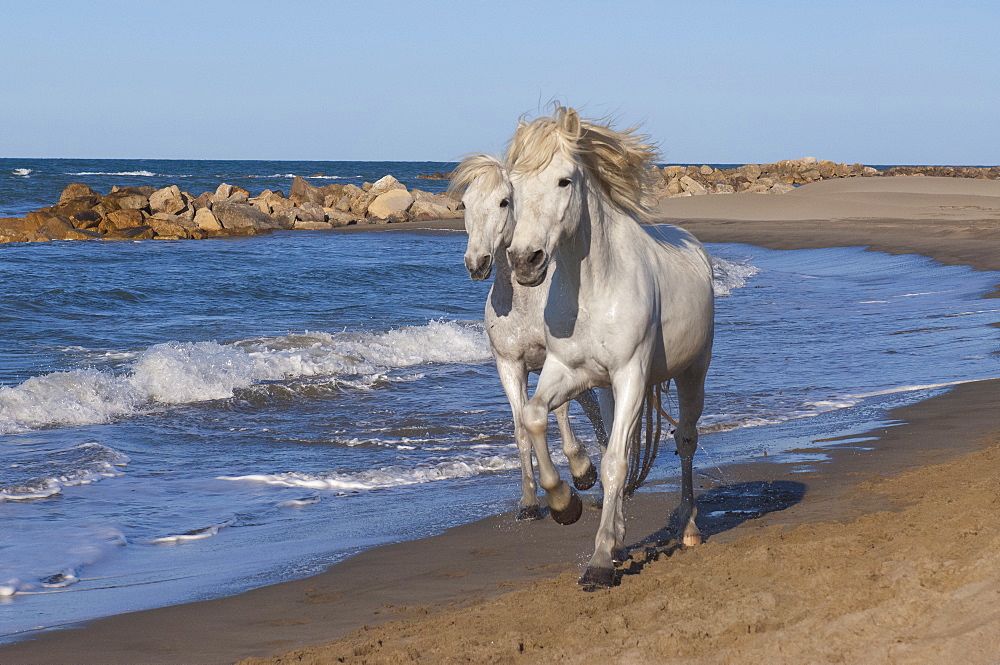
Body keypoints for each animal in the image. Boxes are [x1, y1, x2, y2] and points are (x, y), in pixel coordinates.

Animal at [450, 153, 604, 520]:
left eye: (505, 201)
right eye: (465, 204)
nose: (476, 263)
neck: (524, 304)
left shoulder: (555, 360)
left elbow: (558, 411)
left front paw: (581, 471)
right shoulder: (510, 367)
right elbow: (522, 427)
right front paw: (530, 501)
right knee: (590, 403)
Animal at [504, 107, 716, 588]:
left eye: (564, 181)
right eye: (512, 189)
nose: (525, 261)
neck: (596, 285)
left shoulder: (632, 375)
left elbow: (617, 462)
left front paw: (600, 562)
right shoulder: (568, 369)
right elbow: (535, 416)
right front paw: (566, 502)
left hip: (692, 372)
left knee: (686, 439)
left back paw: (689, 527)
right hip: (605, 388)